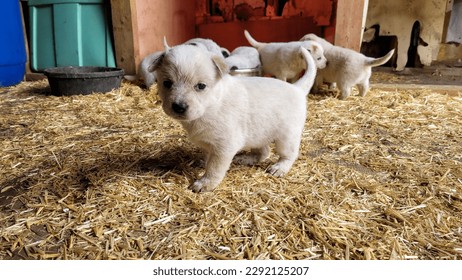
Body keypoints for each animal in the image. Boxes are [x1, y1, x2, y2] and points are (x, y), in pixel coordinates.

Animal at [150, 43, 316, 192]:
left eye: (201, 86)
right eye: (167, 83)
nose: (179, 107)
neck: (212, 105)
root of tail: (297, 88)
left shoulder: (224, 147)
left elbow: (214, 168)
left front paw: (205, 183)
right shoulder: (209, 144)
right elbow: (208, 159)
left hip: (287, 138)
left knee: (289, 155)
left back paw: (280, 168)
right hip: (259, 134)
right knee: (263, 152)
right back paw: (246, 159)